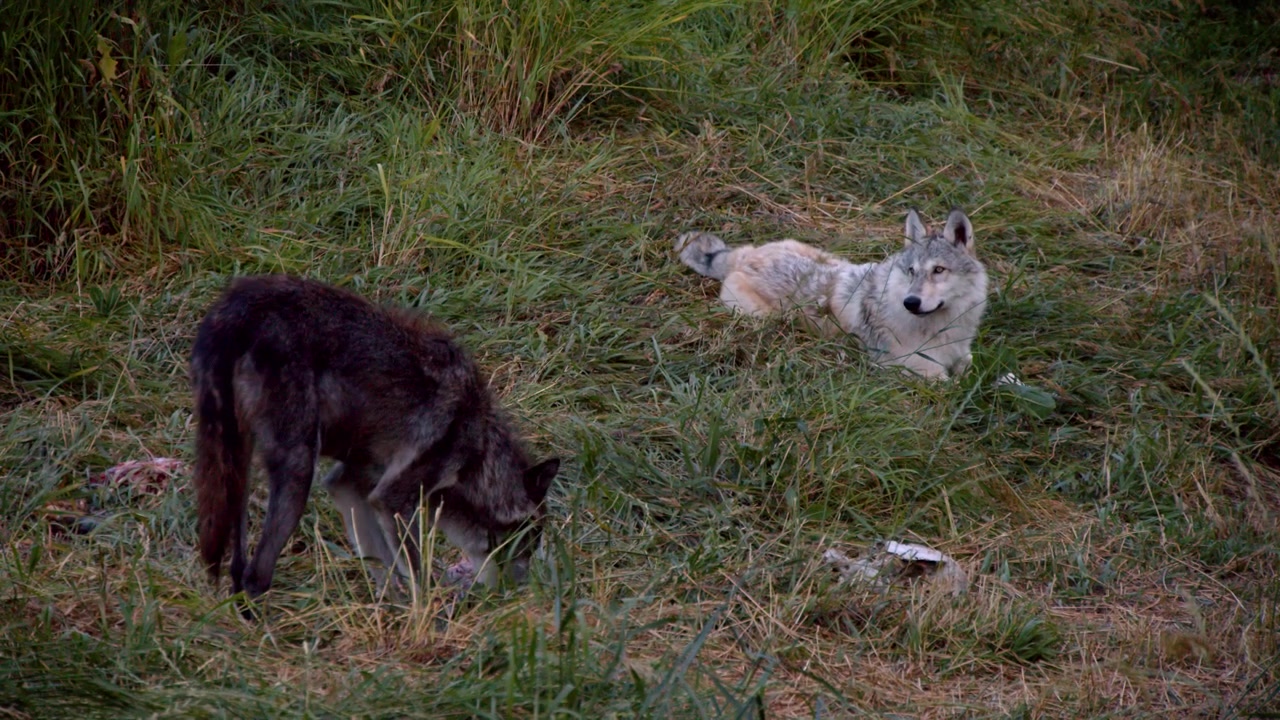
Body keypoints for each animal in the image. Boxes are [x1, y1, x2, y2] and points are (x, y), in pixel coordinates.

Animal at [190, 275, 559, 603]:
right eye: (530, 538)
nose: (522, 591)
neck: (479, 449)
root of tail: (242, 302)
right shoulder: (393, 498)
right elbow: (417, 574)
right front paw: (432, 618)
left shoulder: (349, 485)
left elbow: (384, 566)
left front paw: (394, 611)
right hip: (297, 472)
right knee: (255, 576)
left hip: (237, 470)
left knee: (237, 568)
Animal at [675, 208, 988, 380]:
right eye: (911, 271)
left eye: (938, 270)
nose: (910, 302)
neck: (942, 330)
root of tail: (743, 256)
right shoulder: (911, 368)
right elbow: (951, 387)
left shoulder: (964, 356)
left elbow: (974, 369)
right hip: (762, 317)